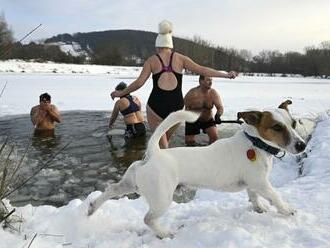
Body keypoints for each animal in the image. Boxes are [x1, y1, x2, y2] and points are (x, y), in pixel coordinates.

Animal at [88, 101, 306, 238]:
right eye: (277, 127)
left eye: (294, 123)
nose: (302, 145)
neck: (255, 144)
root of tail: (154, 153)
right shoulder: (261, 182)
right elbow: (275, 196)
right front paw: (286, 209)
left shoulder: (253, 184)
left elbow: (253, 196)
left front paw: (259, 207)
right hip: (161, 198)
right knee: (147, 219)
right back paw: (165, 233)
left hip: (131, 183)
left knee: (111, 190)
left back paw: (92, 208)